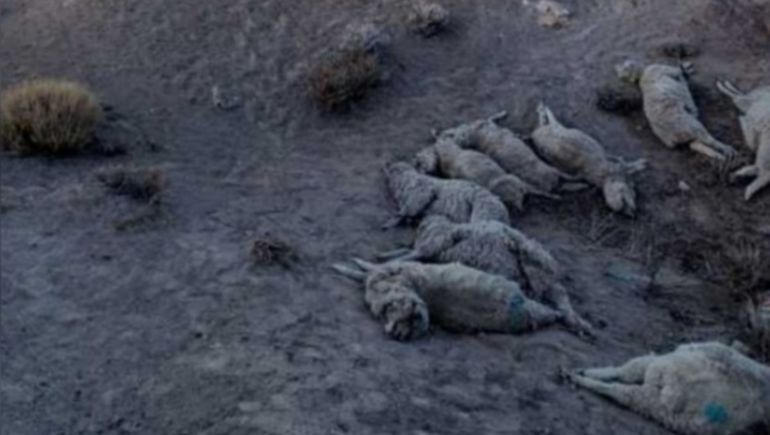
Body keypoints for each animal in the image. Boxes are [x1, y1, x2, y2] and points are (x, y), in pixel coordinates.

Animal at [376, 215, 593, 335]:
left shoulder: (433, 244)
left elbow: (411, 253)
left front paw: (385, 258)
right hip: (540, 277)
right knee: (560, 298)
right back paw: (581, 325)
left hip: (529, 264)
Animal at [382, 161, 510, 228]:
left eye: (393, 168)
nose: (387, 165)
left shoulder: (422, 187)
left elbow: (413, 203)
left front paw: (395, 218)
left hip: (484, 207)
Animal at [568, 341, 770, 435]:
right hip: (659, 395)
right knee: (623, 385)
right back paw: (581, 378)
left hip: (657, 389)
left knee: (625, 375)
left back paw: (584, 374)